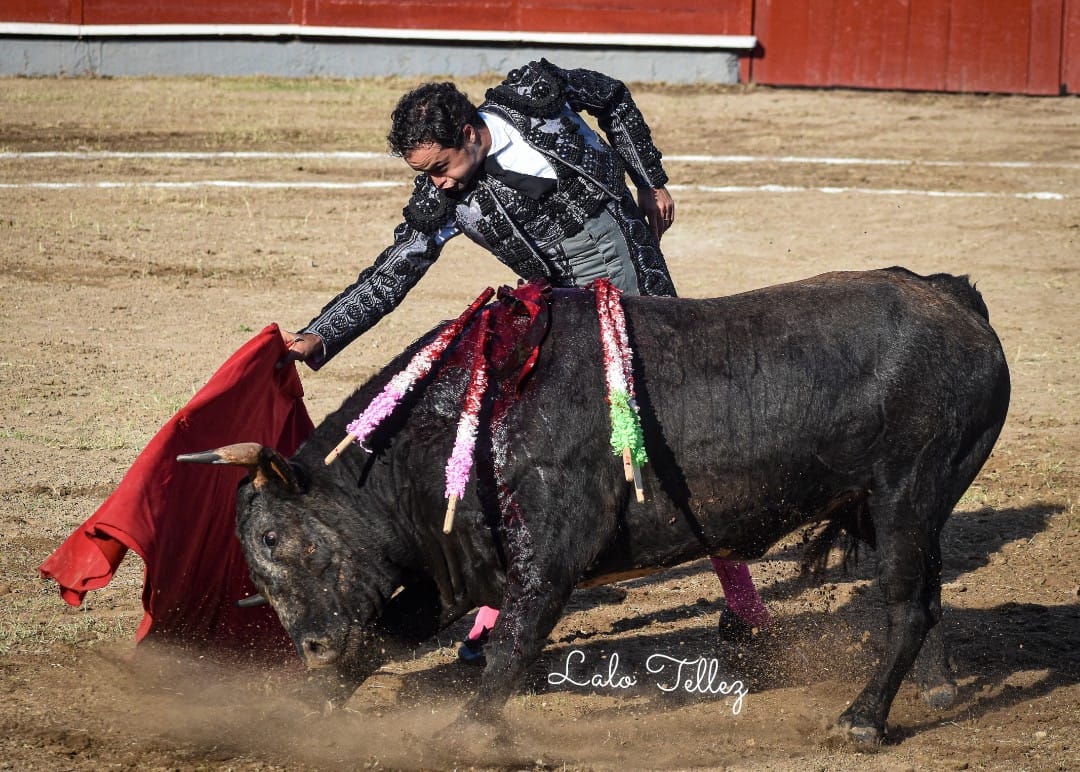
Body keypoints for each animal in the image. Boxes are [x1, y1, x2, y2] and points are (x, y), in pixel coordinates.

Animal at [179, 268, 1010, 747]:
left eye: (277, 539)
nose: (311, 647)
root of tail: (958, 302)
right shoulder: (448, 567)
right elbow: (386, 633)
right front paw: (297, 710)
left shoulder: (550, 553)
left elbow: (512, 644)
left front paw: (465, 734)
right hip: (886, 506)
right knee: (925, 599)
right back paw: (934, 688)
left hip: (908, 494)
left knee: (907, 603)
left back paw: (862, 720)